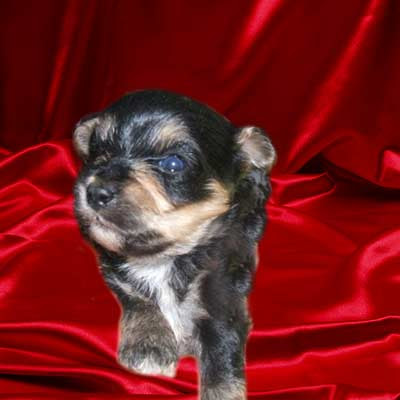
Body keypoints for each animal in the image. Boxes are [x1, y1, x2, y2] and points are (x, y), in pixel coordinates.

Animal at [72, 90, 276, 400]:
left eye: (173, 164)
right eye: (99, 153)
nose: (95, 192)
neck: (167, 255)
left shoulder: (224, 280)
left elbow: (222, 339)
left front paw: (222, 390)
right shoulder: (111, 259)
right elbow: (136, 292)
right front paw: (149, 343)